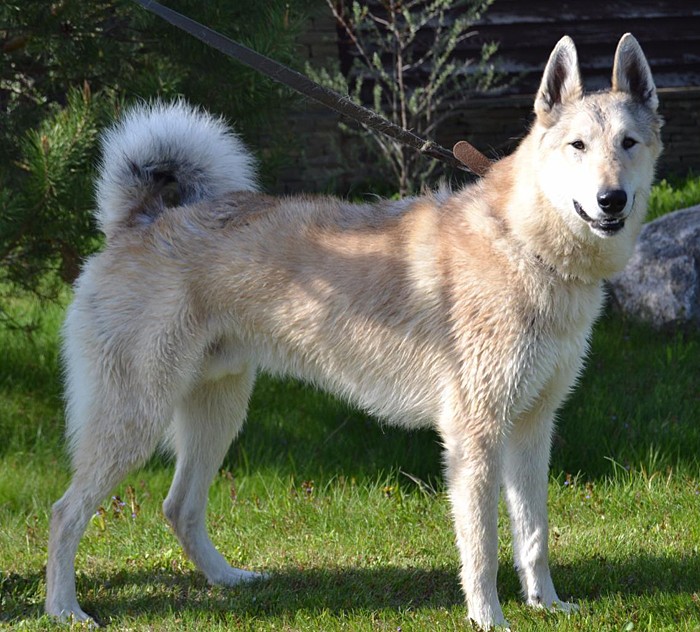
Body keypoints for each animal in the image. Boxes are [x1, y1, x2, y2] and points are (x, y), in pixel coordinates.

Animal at [46, 34, 662, 629]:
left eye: (628, 143)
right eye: (577, 146)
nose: (612, 200)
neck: (525, 245)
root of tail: (139, 221)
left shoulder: (533, 428)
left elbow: (534, 534)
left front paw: (546, 605)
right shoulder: (475, 437)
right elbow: (482, 549)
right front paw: (489, 619)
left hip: (218, 413)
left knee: (179, 508)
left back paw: (228, 580)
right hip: (134, 421)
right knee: (65, 514)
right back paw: (64, 610)